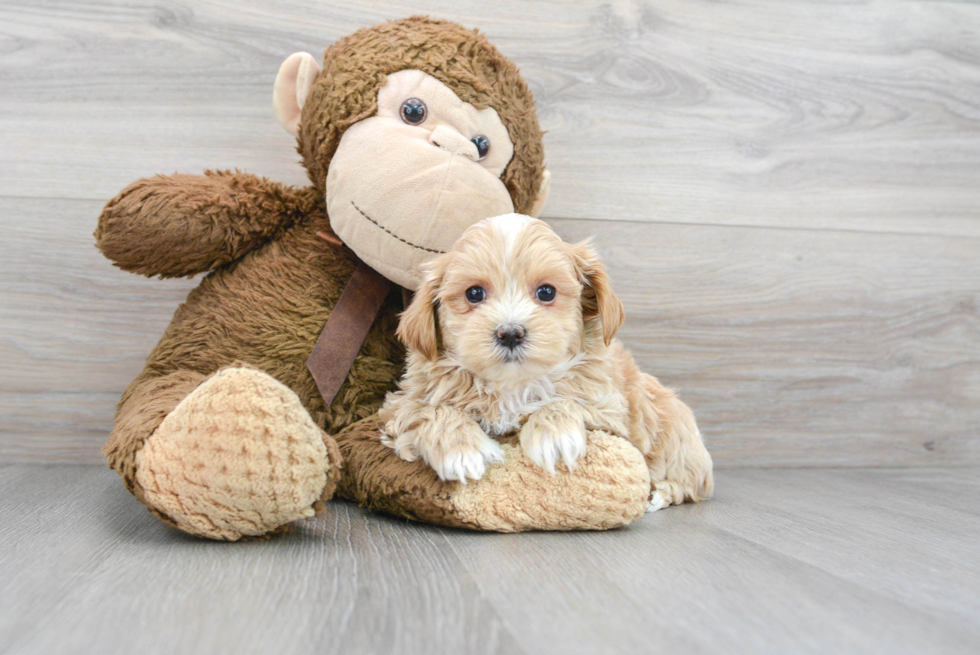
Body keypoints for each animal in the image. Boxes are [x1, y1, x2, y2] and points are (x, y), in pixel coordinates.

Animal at [380, 218, 712, 510]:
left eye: (546, 292)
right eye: (474, 293)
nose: (510, 333)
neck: (513, 385)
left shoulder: (610, 412)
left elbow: (565, 401)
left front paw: (555, 435)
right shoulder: (399, 407)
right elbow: (430, 411)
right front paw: (462, 451)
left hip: (679, 443)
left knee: (688, 483)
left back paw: (658, 494)